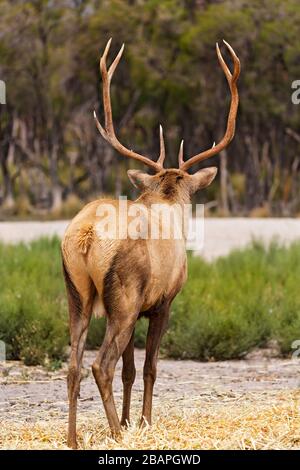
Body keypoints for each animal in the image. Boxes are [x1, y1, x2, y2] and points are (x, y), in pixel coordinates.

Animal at [62, 37, 240, 448]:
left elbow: (130, 368)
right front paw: (141, 423)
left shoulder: (142, 305)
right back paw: (114, 434)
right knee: (100, 365)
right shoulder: (162, 302)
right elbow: (149, 368)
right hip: (122, 299)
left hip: (77, 293)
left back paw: (75, 438)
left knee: (74, 365)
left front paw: (130, 420)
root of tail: (86, 236)